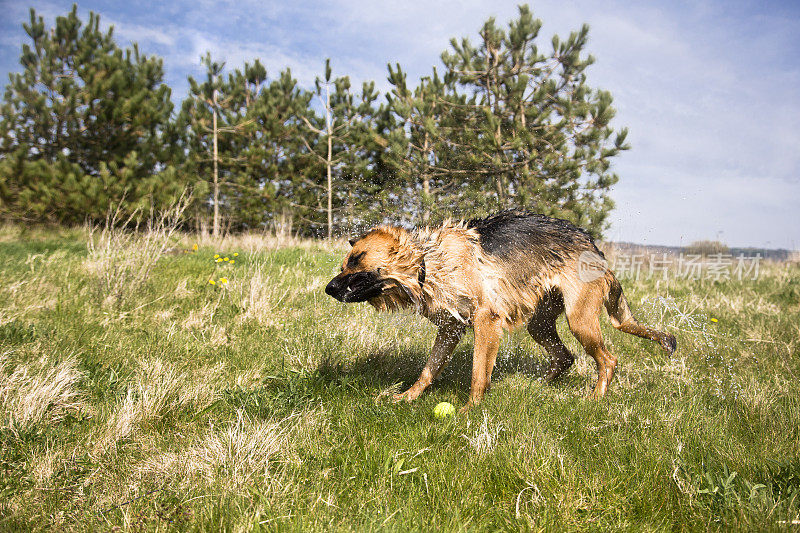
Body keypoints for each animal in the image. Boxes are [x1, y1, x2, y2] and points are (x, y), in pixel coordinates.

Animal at [324, 211, 676, 412]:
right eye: (343, 265)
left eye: (356, 260)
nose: (328, 288)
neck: (429, 262)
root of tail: (598, 252)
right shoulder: (450, 328)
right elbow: (428, 369)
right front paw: (407, 397)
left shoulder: (485, 322)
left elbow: (479, 374)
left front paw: (469, 411)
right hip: (540, 323)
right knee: (564, 356)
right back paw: (537, 387)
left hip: (580, 320)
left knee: (608, 359)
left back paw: (595, 398)